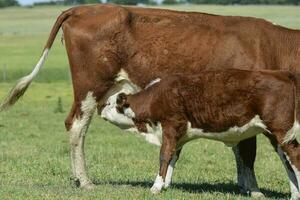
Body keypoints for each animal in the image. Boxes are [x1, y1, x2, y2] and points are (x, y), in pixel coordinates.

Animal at [102, 69, 300, 198]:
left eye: (109, 103)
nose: (100, 109)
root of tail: (282, 74)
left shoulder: (171, 125)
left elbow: (164, 156)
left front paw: (156, 187)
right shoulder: (179, 135)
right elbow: (173, 156)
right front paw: (165, 185)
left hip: (280, 130)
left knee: (294, 156)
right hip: (276, 134)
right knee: (287, 162)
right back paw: (294, 194)